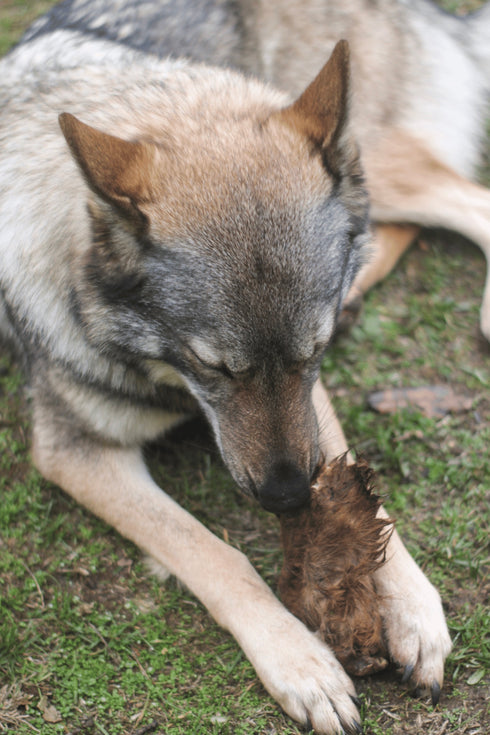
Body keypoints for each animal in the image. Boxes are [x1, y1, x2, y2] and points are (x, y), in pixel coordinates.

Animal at [2, 0, 482, 732]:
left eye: (314, 351)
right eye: (215, 367)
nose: (288, 497)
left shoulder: (311, 402)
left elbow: (362, 492)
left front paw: (415, 608)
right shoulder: (78, 452)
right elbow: (216, 554)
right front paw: (301, 661)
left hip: (378, 158)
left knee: (464, 199)